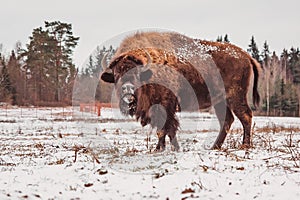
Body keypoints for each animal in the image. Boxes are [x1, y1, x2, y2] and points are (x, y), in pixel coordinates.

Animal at [101, 30, 260, 150]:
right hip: (220, 101)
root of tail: (245, 56)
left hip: (235, 96)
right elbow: (164, 129)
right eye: (117, 74)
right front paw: (163, 148)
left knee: (245, 116)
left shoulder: (165, 105)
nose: (127, 88)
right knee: (227, 120)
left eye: (136, 73)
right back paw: (215, 147)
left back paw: (244, 145)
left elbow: (165, 128)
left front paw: (166, 148)